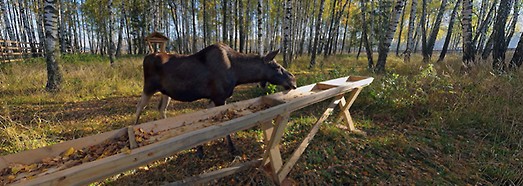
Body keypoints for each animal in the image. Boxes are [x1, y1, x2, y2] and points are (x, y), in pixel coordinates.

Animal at [135, 42, 296, 157]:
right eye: (277, 67)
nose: (293, 79)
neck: (239, 74)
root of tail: (145, 57)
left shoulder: (214, 98)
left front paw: (200, 149)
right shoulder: (219, 97)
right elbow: (224, 125)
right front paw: (232, 149)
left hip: (166, 92)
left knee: (161, 109)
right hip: (148, 87)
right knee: (139, 108)